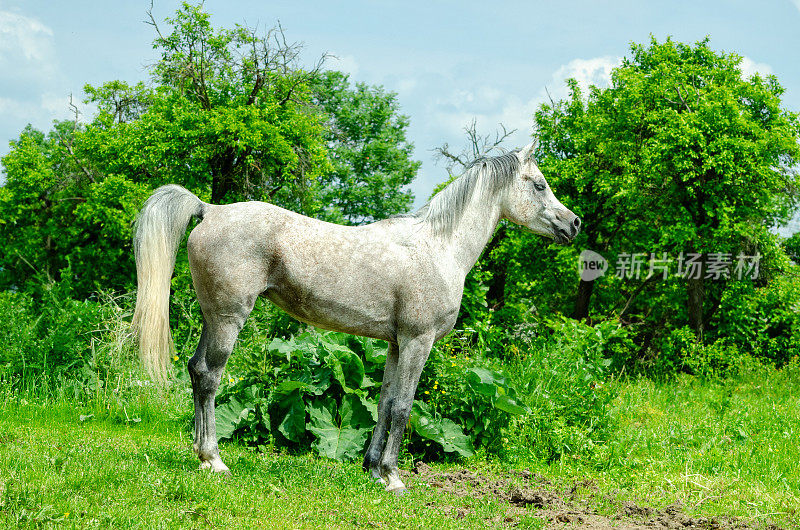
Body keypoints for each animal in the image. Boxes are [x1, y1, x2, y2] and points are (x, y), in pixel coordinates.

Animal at [133, 142, 580, 492]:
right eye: (539, 184)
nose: (573, 223)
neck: (438, 247)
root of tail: (210, 210)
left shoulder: (397, 344)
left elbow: (384, 404)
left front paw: (373, 471)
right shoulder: (418, 342)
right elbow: (402, 407)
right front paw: (394, 478)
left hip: (213, 318)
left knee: (195, 371)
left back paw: (200, 454)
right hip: (228, 319)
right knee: (210, 377)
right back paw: (214, 460)